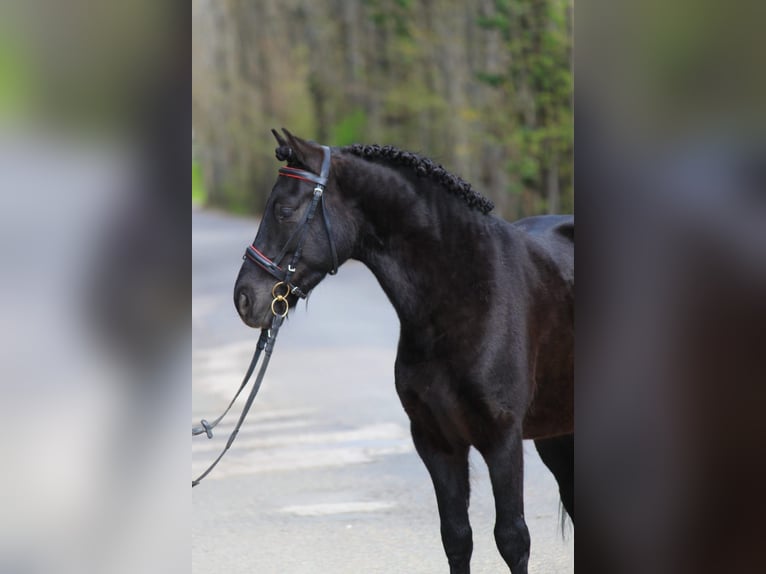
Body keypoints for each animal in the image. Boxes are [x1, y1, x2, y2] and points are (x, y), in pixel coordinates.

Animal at [234, 130, 576, 574]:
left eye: (285, 210)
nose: (244, 298)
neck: (466, 293)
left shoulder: (502, 439)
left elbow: (512, 538)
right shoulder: (435, 441)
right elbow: (457, 538)